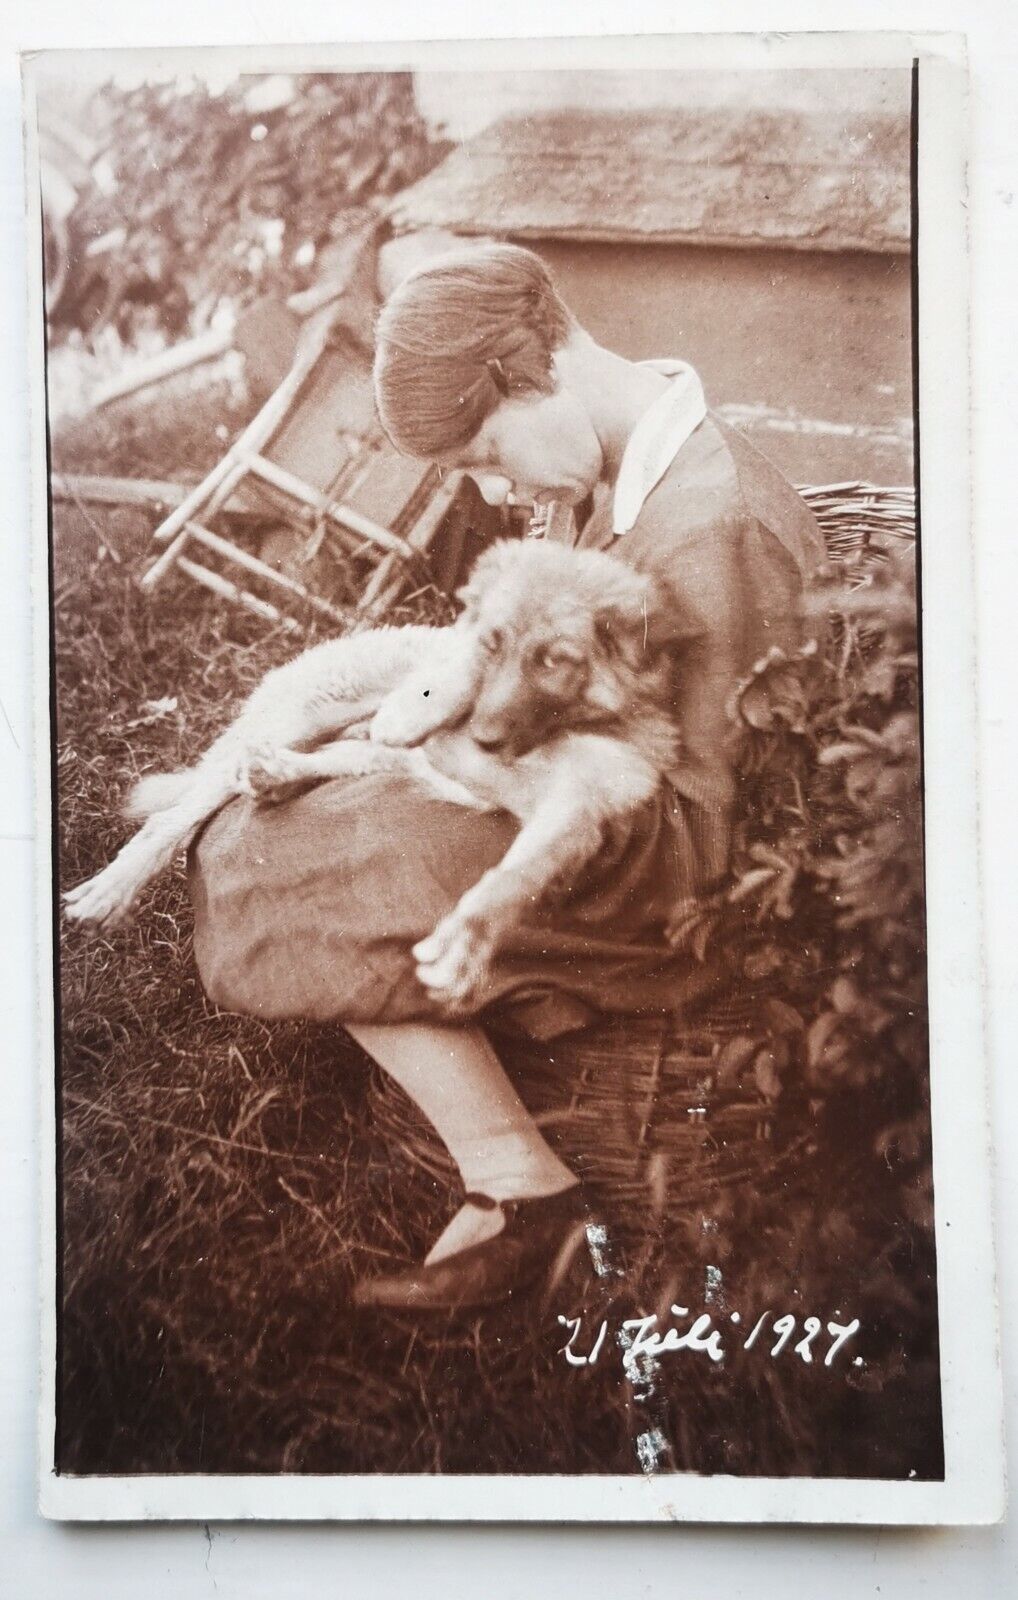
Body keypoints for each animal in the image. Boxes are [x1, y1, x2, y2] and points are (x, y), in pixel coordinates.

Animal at [65, 544, 685, 1004]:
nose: (484, 740)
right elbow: (453, 670)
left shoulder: (578, 808)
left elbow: (520, 874)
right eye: (494, 644)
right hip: (299, 714)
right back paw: (110, 889)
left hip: (368, 753)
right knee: (172, 817)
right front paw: (427, 703)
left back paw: (278, 775)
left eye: (556, 660)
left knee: (331, 754)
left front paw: (466, 941)